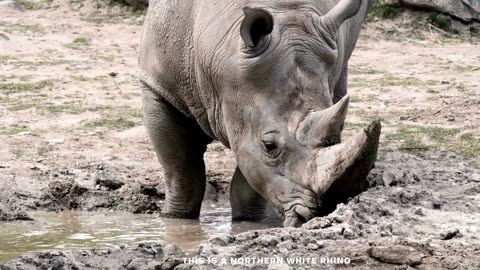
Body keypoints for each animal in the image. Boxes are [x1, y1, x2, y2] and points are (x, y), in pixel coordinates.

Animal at [138, 0, 378, 227]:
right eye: (269, 146)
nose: (319, 214)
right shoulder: (158, 87)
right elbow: (182, 171)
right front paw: (175, 219)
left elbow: (250, 176)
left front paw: (249, 221)